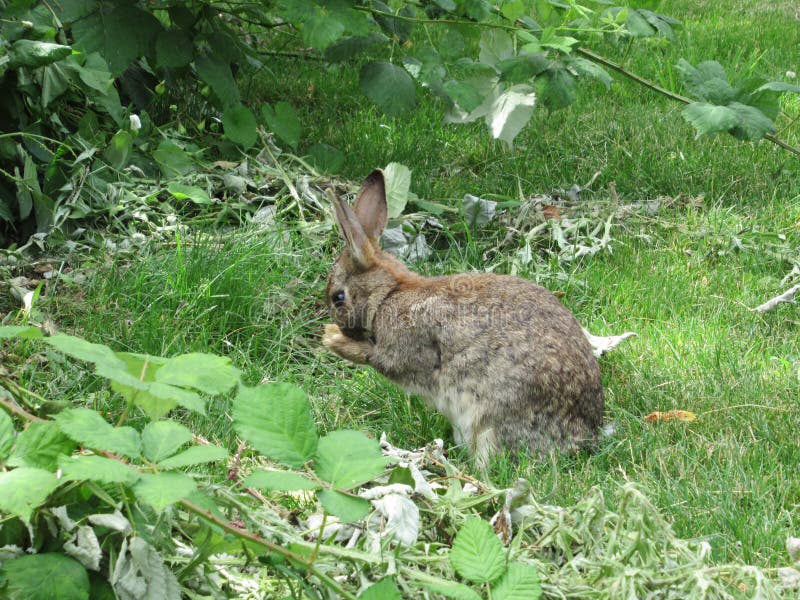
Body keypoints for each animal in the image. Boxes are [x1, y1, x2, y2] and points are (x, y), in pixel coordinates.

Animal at [322, 169, 604, 468]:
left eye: (338, 298)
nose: (341, 327)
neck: (389, 294)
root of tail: (583, 435)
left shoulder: (406, 348)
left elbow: (378, 358)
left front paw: (333, 339)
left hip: (490, 420)